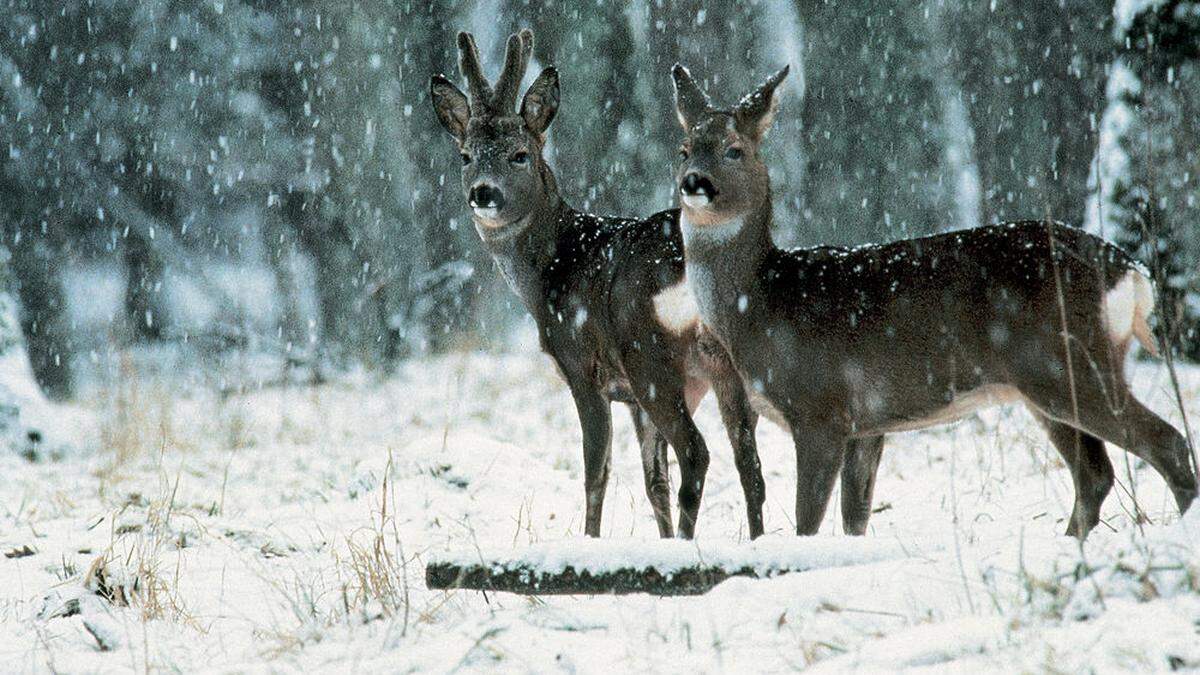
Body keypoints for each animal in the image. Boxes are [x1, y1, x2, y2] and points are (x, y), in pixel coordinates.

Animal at [432, 30, 768, 535]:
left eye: (519, 155)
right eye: (465, 155)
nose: (483, 193)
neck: (549, 271)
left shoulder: (583, 366)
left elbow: (597, 472)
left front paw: (589, 540)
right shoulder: (630, 399)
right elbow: (654, 483)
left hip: (650, 357)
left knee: (697, 452)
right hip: (725, 365)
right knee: (749, 464)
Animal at [672, 61, 1195, 535]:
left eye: (735, 150)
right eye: (684, 149)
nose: (693, 182)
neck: (759, 304)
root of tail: (1132, 272)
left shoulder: (822, 408)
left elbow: (808, 523)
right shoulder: (869, 425)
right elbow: (854, 519)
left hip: (1070, 362)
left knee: (1165, 442)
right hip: (1046, 382)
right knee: (1095, 473)